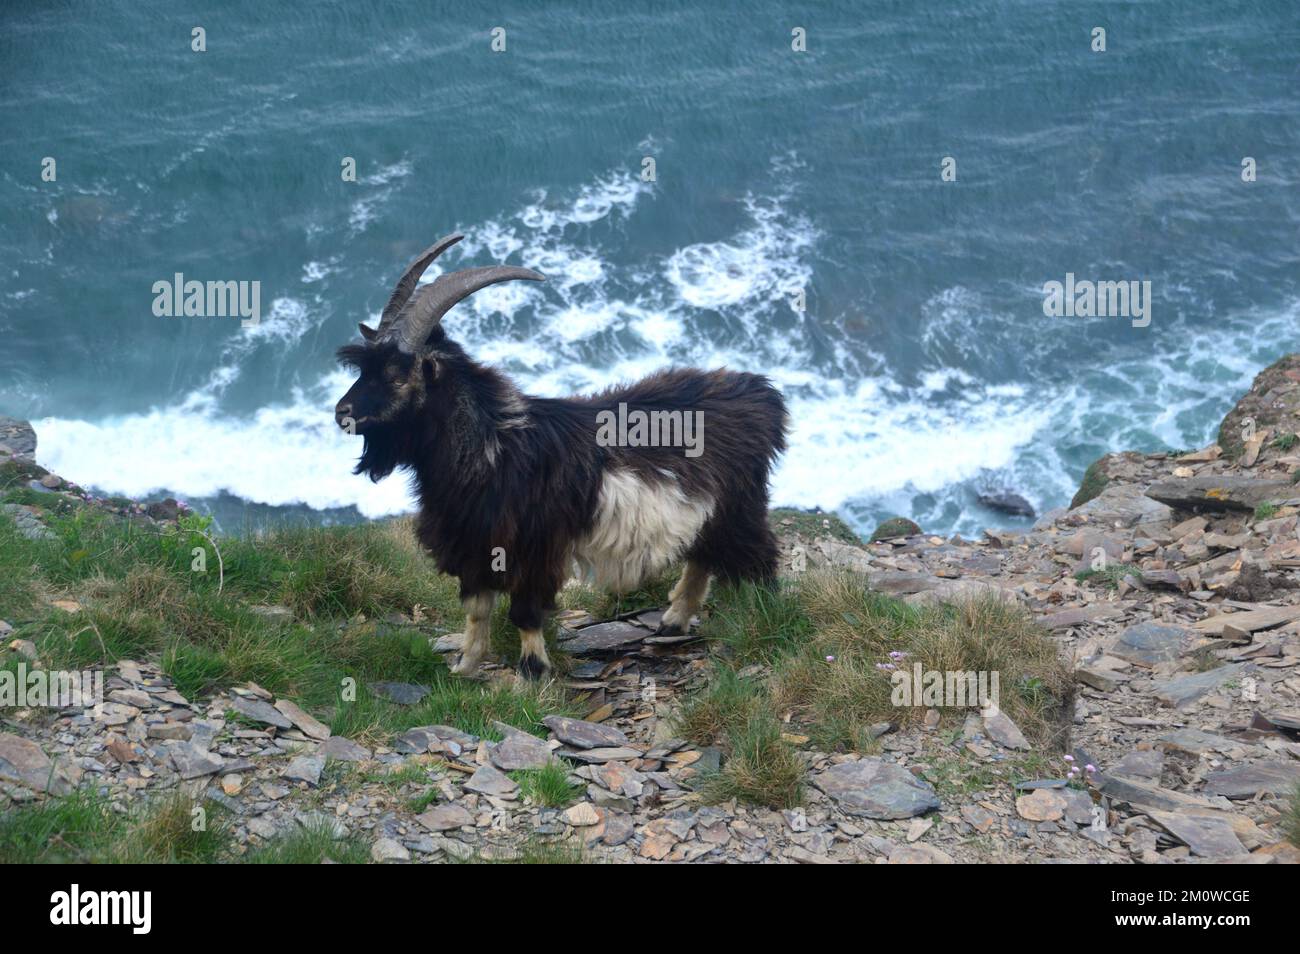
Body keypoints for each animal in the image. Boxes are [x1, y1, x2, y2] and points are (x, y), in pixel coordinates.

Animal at [335, 234, 788, 679]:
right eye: (364, 370)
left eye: (396, 376)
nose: (342, 413)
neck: (494, 445)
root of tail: (760, 393)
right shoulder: (473, 543)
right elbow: (477, 609)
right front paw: (465, 664)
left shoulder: (534, 546)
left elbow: (524, 612)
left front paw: (533, 670)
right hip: (709, 512)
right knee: (702, 556)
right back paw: (673, 620)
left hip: (740, 505)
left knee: (759, 556)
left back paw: (765, 616)